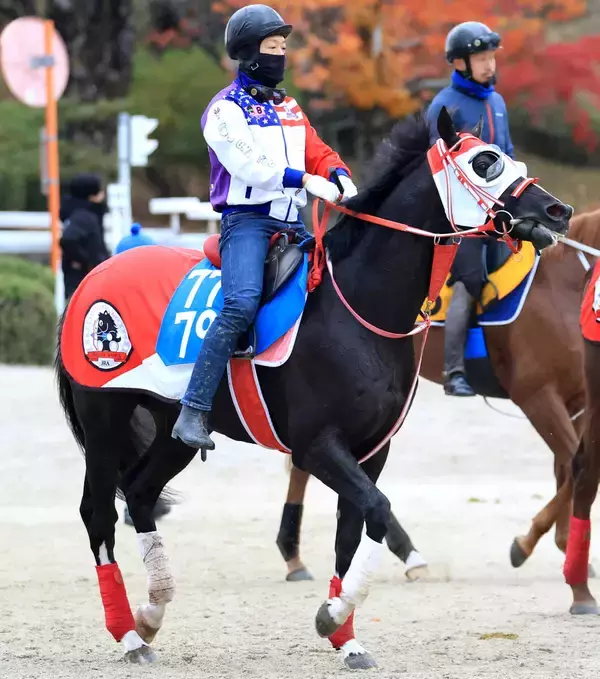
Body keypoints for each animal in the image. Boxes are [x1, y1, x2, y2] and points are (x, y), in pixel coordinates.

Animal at [276, 210, 600, 583]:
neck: (563, 285)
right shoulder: (538, 398)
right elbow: (573, 465)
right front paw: (526, 543)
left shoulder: (576, 403)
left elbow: (567, 469)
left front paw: (564, 545)